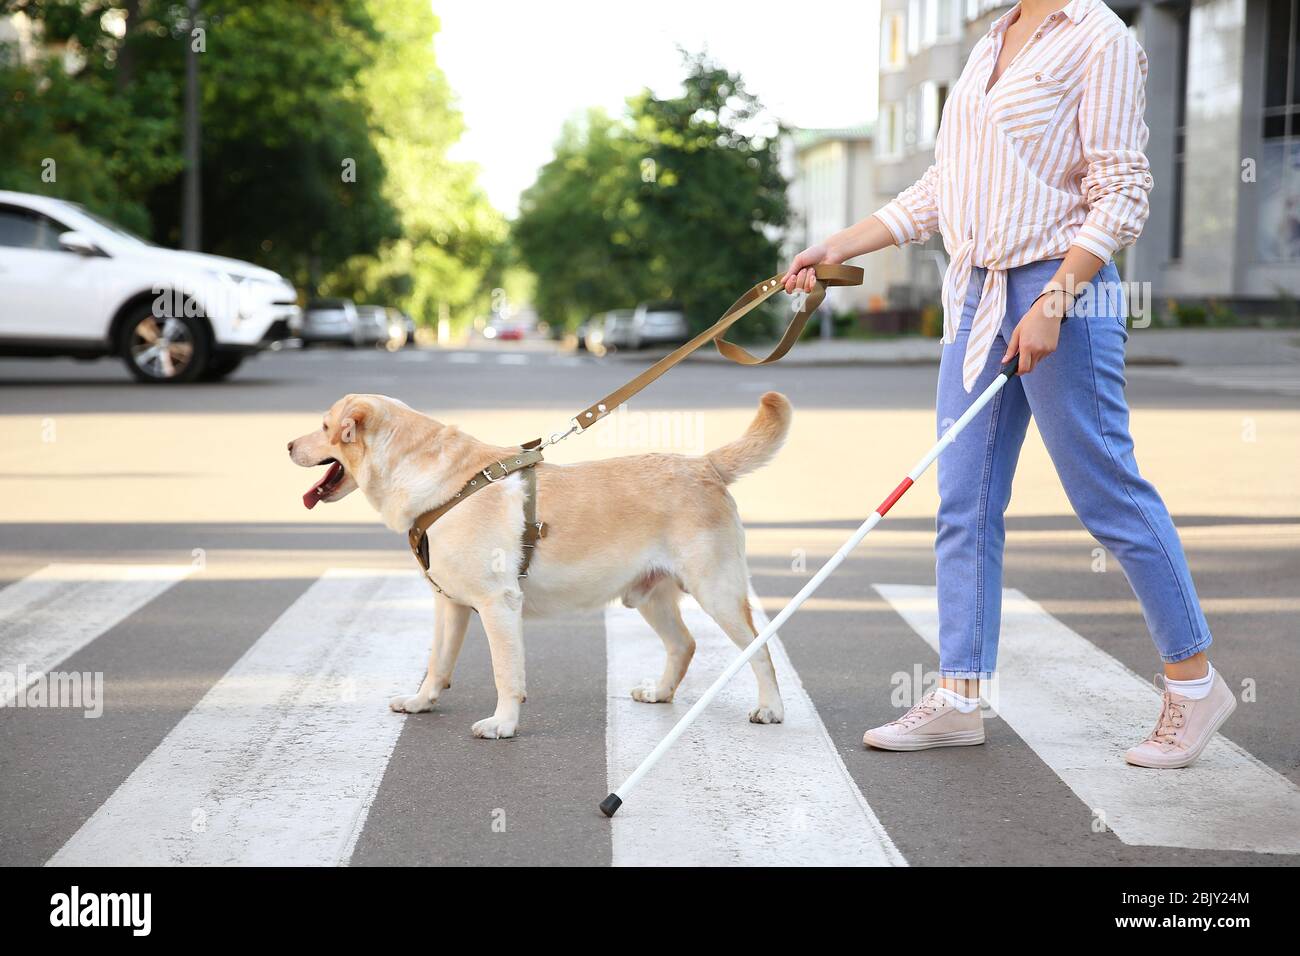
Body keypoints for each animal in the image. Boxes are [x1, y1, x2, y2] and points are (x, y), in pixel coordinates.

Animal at [287, 390, 790, 738]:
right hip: (650, 597)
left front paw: (503, 725)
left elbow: (506, 674)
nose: (288, 445)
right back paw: (660, 692)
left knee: (760, 649)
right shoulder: (449, 605)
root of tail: (705, 464)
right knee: (684, 644)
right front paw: (420, 702)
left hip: (717, 592)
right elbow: (437, 664)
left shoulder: (498, 605)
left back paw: (771, 708)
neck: (437, 482)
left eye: (324, 425)